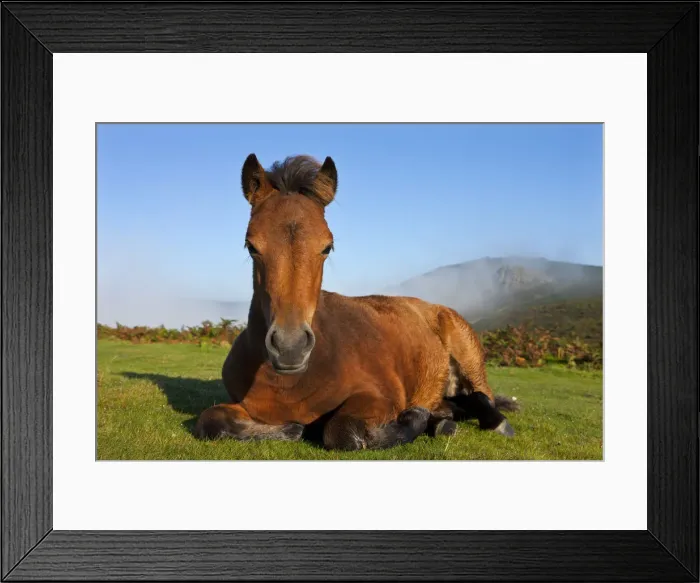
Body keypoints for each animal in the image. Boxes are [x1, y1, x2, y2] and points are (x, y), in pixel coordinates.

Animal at [194, 154, 519, 451]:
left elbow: (342, 431)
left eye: (327, 247)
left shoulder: (380, 396)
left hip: (469, 358)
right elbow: (210, 421)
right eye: (251, 246)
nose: (290, 347)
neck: (289, 383)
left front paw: (414, 419)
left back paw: (487, 421)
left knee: (481, 396)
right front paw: (290, 430)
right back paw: (441, 421)